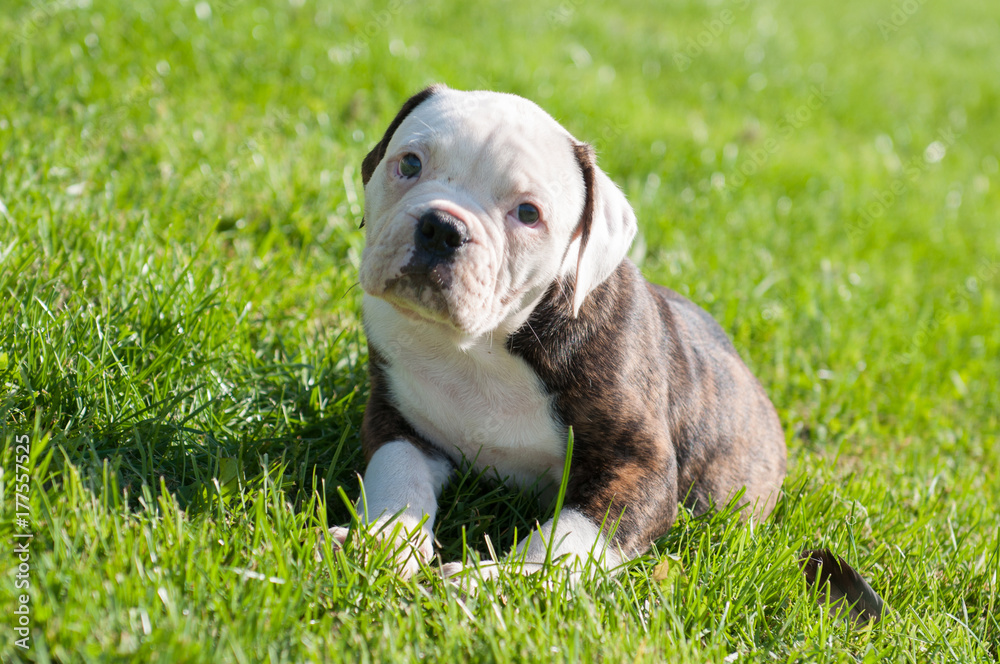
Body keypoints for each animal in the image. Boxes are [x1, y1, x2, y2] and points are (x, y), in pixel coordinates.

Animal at [336, 84, 788, 580]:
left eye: (528, 213)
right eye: (410, 164)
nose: (442, 227)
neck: (480, 347)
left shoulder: (638, 468)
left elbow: (566, 540)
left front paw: (498, 581)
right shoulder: (397, 421)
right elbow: (398, 476)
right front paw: (375, 542)